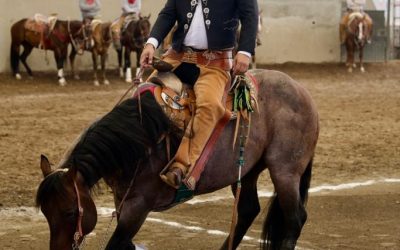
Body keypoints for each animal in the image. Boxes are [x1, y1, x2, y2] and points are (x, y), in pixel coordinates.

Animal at [36, 67, 318, 250]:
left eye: (70, 212)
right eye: (46, 213)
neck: (140, 141)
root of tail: (302, 92)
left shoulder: (137, 208)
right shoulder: (123, 202)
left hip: (285, 171)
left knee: (295, 219)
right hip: (248, 171)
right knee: (248, 211)